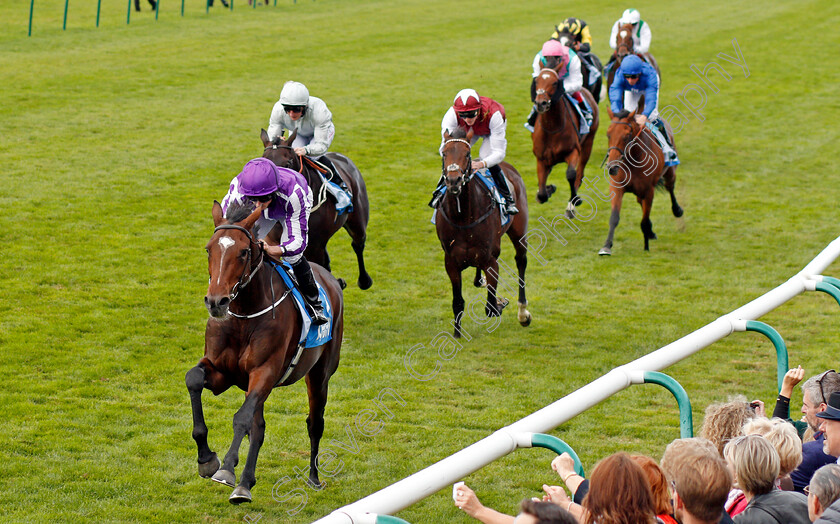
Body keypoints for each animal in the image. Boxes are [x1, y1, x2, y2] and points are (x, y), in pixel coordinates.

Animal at [189, 200, 342, 504]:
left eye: (243, 252)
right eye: (209, 249)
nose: (216, 302)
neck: (243, 316)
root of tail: (332, 280)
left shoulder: (265, 373)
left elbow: (241, 418)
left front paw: (225, 468)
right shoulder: (222, 372)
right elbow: (193, 379)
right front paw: (206, 458)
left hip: (320, 374)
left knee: (314, 422)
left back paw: (313, 478)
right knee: (258, 428)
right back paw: (245, 484)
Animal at [260, 127, 370, 290]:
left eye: (288, 163)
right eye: (264, 163)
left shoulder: (315, 245)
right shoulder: (273, 241)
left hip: (357, 220)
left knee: (358, 243)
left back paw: (364, 281)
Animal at [434, 129, 532, 338]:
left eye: (467, 154)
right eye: (444, 153)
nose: (453, 181)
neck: (463, 217)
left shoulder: (490, 260)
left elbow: (491, 308)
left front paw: (501, 303)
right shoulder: (451, 262)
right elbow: (458, 302)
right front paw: (457, 334)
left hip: (519, 232)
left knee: (521, 261)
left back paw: (523, 313)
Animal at [532, 64, 596, 218]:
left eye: (555, 82)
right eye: (537, 81)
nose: (541, 103)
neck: (552, 128)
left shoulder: (573, 151)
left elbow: (571, 174)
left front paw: (575, 201)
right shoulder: (541, 158)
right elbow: (542, 193)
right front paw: (548, 189)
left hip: (588, 143)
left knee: (580, 173)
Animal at [596, 109, 684, 256]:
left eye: (626, 136)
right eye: (608, 134)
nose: (612, 167)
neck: (633, 161)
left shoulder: (649, 191)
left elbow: (644, 220)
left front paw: (646, 246)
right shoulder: (617, 188)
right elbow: (614, 218)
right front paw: (606, 247)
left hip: (670, 172)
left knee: (670, 188)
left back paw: (677, 210)